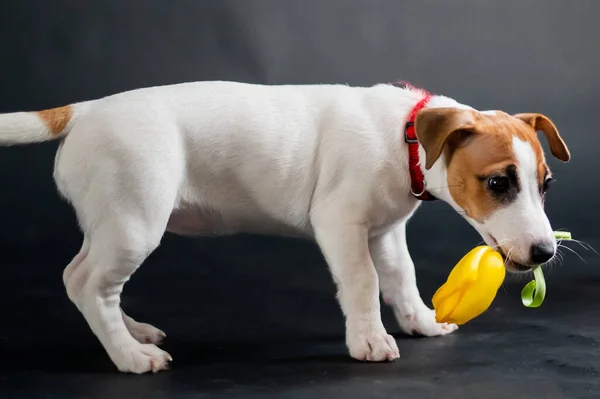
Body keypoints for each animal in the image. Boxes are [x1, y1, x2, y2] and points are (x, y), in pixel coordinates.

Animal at [0, 82, 572, 376]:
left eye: (546, 184)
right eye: (497, 182)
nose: (545, 252)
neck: (407, 135)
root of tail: (85, 111)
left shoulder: (384, 231)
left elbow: (401, 276)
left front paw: (421, 323)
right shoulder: (340, 223)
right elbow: (363, 282)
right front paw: (370, 340)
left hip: (111, 222)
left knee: (85, 276)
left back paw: (131, 332)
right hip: (134, 220)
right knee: (88, 284)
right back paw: (130, 356)